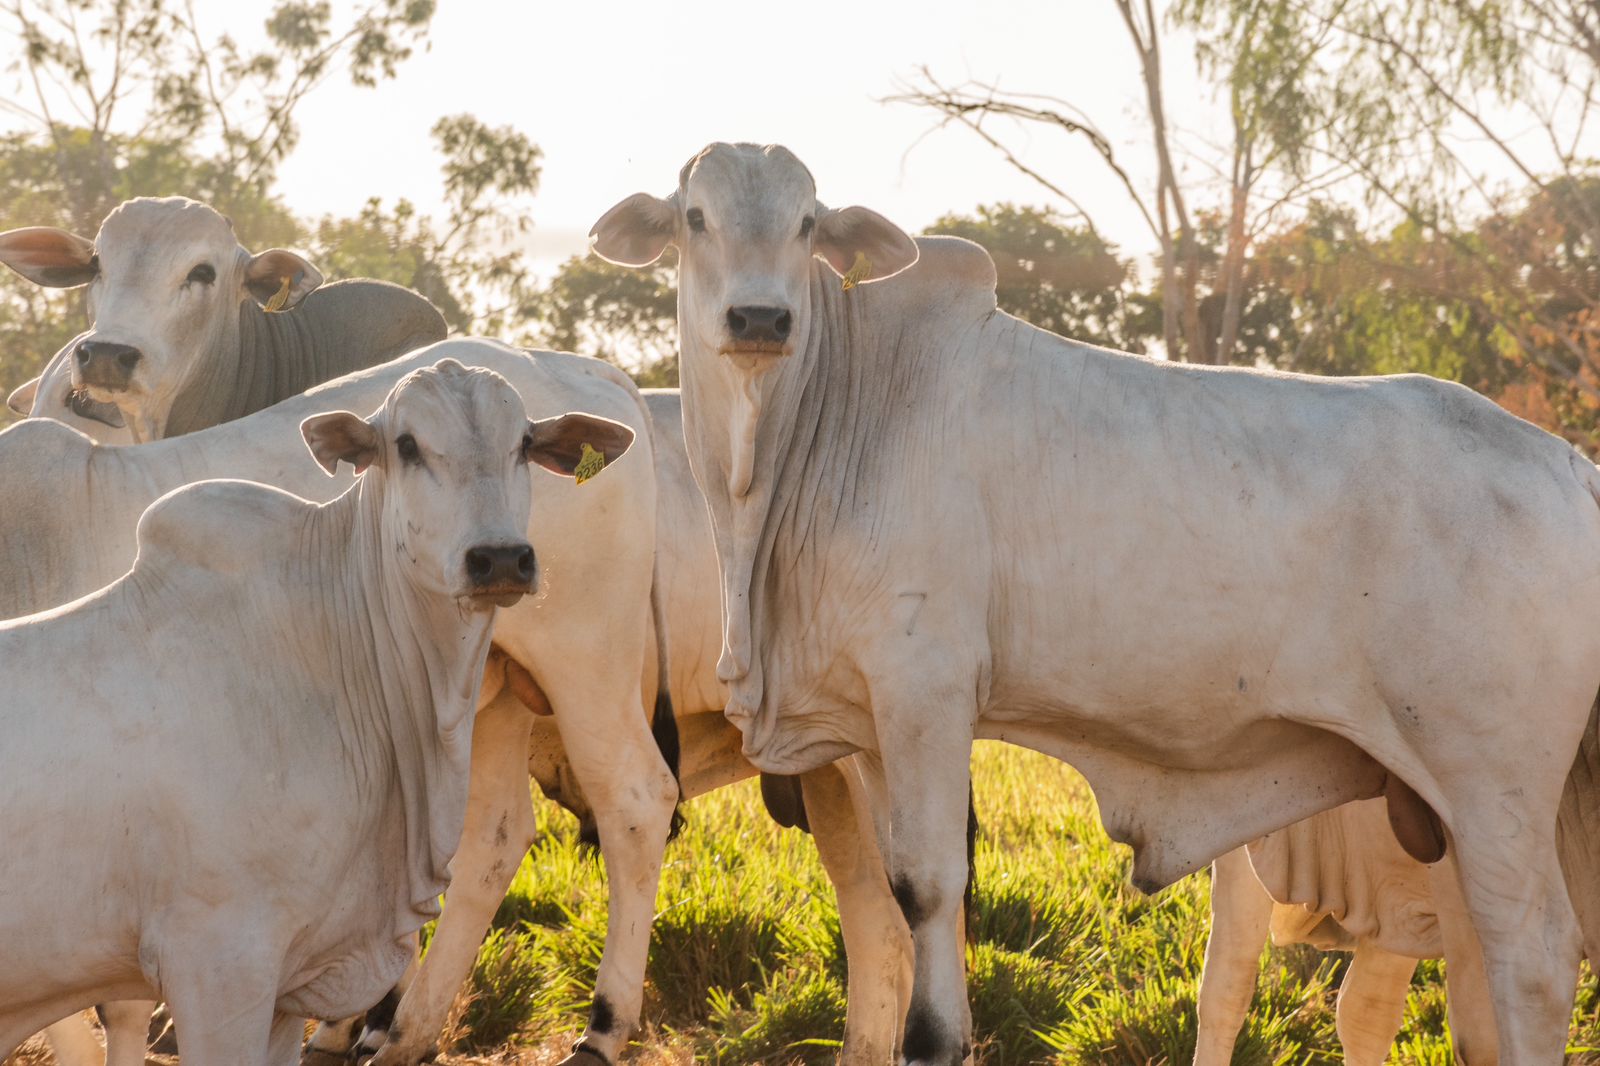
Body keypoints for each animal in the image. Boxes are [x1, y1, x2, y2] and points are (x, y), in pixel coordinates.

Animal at [595, 143, 1600, 1062]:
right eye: (695, 218)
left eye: (807, 223)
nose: (761, 316)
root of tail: (1567, 464)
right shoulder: (871, 720)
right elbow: (894, 895)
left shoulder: (926, 690)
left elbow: (930, 886)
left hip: (1493, 784)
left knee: (1536, 960)